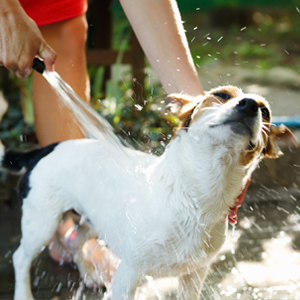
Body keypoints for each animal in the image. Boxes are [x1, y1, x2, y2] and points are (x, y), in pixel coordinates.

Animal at [0, 85, 298, 298]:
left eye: (266, 112)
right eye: (221, 95)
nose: (249, 105)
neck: (197, 197)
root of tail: (43, 149)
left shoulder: (194, 276)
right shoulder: (128, 275)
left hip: (95, 219)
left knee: (77, 240)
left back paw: (89, 274)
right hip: (42, 222)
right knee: (20, 257)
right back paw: (24, 294)